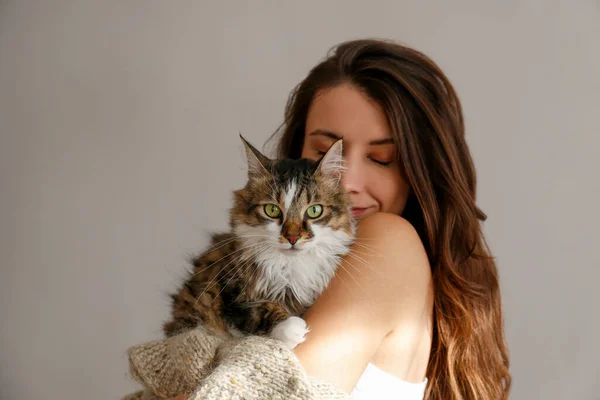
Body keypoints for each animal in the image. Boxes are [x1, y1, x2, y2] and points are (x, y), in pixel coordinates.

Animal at [162, 134, 354, 346]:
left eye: (314, 210)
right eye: (272, 210)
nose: (292, 237)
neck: (290, 265)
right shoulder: (226, 294)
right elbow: (258, 309)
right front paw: (290, 327)